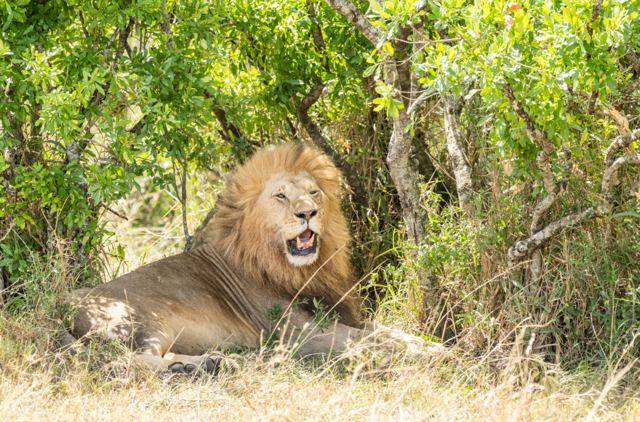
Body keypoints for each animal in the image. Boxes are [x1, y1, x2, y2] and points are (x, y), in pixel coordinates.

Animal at [67, 144, 431, 373]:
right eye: (281, 196)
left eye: (313, 192)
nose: (308, 213)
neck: (300, 269)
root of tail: (64, 306)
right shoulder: (299, 335)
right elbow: (372, 341)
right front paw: (429, 355)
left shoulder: (337, 315)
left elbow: (387, 332)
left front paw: (428, 345)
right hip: (140, 319)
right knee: (124, 361)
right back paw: (202, 366)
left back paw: (210, 362)